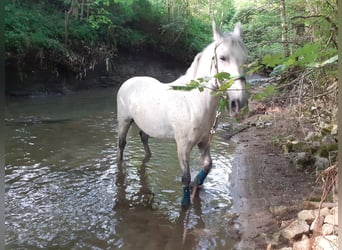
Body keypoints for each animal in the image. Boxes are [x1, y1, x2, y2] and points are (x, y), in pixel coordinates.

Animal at [116, 22, 247, 209]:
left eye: (245, 59)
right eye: (223, 57)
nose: (239, 103)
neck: (192, 103)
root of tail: (128, 82)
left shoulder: (204, 142)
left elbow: (208, 165)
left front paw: (196, 185)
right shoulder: (183, 146)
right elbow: (185, 177)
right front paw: (185, 203)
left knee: (144, 138)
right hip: (124, 121)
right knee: (121, 144)